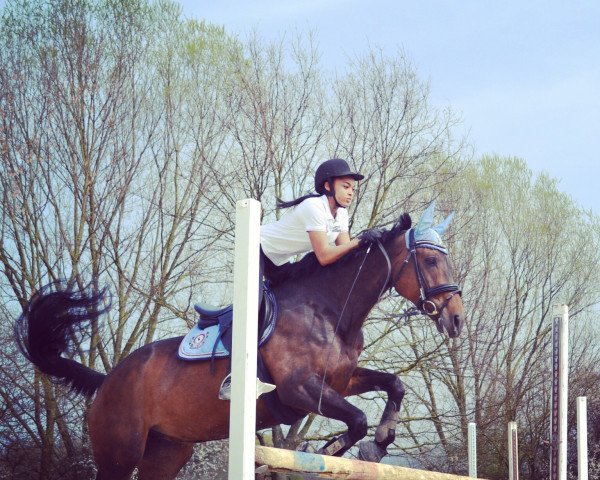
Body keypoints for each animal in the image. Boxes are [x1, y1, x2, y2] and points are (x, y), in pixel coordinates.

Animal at [12, 203, 464, 480]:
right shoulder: (297, 390)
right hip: (119, 451)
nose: (457, 319)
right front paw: (340, 449)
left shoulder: (340, 381)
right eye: (429, 260)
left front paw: (379, 445)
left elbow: (394, 385)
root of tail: (108, 381)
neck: (331, 309)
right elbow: (356, 420)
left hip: (168, 450)